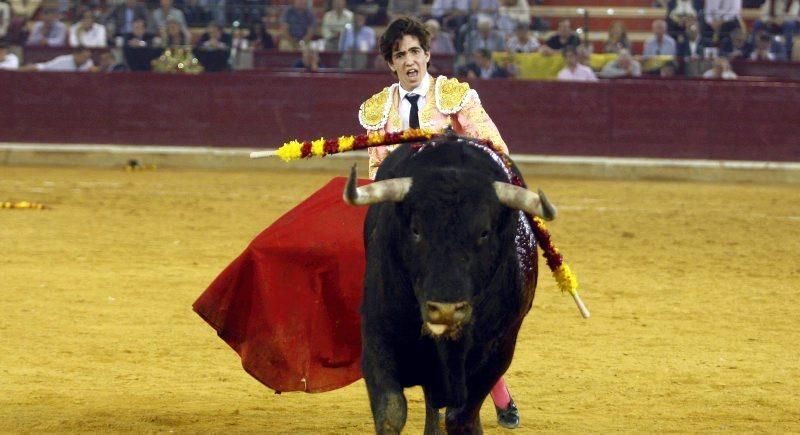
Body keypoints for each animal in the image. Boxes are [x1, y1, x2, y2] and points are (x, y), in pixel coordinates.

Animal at [344, 139, 556, 432]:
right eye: (416, 230)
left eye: (484, 232)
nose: (445, 310)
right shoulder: (378, 334)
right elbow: (392, 411)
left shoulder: (499, 349)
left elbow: (461, 417)